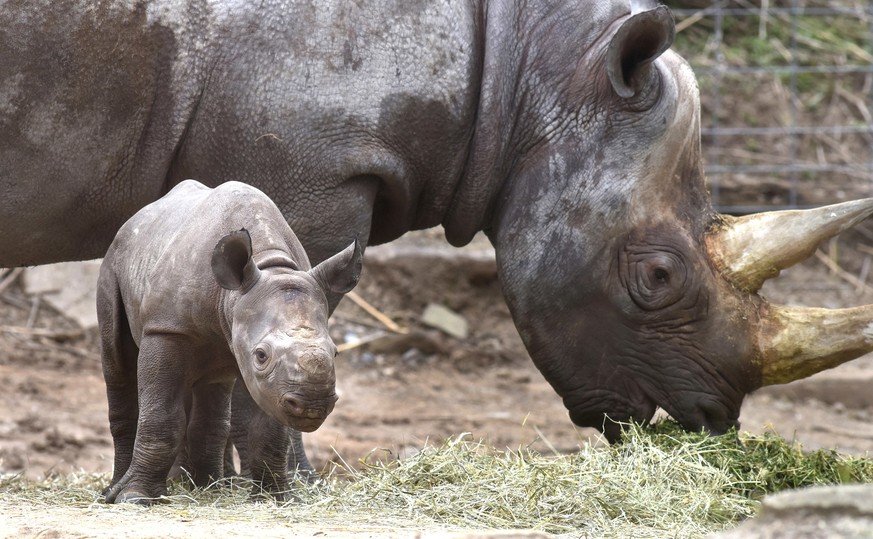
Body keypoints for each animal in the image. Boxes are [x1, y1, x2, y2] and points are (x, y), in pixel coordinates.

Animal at [99, 179, 362, 504]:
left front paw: (274, 497)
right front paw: (136, 497)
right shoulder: (166, 329)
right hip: (113, 264)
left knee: (214, 387)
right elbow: (161, 414)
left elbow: (269, 424)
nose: (313, 405)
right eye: (261, 355)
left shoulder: (271, 379)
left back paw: (210, 487)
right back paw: (114, 489)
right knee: (118, 364)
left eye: (336, 352)